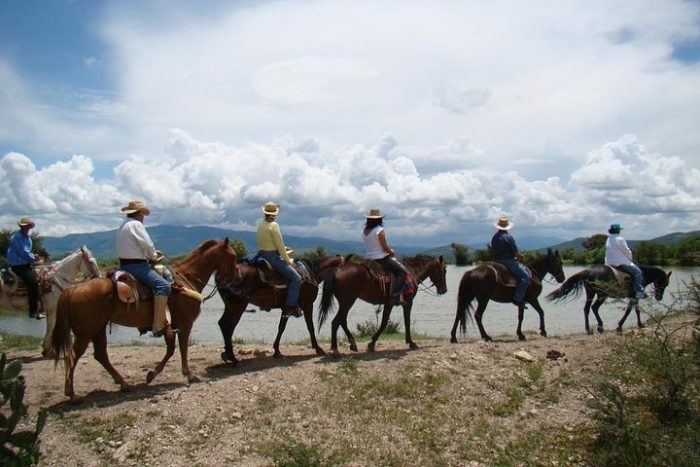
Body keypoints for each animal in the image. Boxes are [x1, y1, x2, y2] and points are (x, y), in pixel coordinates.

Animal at [51, 239, 238, 400]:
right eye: (233, 256)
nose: (235, 277)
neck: (186, 279)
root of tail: (72, 290)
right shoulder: (185, 324)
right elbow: (182, 349)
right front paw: (190, 375)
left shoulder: (169, 326)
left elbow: (170, 350)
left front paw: (151, 375)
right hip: (86, 332)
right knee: (72, 356)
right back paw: (71, 393)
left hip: (98, 328)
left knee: (100, 355)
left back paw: (124, 384)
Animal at [213, 256, 344, 362]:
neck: (312, 273)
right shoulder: (307, 304)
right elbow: (309, 326)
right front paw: (318, 348)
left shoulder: (286, 308)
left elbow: (281, 327)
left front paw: (276, 351)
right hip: (237, 306)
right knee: (228, 326)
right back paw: (232, 358)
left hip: (230, 306)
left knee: (223, 324)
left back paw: (228, 355)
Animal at [318, 256, 448, 354]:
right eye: (444, 270)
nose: (444, 290)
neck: (412, 272)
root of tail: (336, 270)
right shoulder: (408, 303)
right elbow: (406, 322)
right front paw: (411, 343)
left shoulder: (389, 304)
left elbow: (384, 322)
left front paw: (371, 344)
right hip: (347, 302)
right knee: (336, 321)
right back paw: (335, 349)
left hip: (345, 302)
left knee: (342, 321)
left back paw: (352, 345)